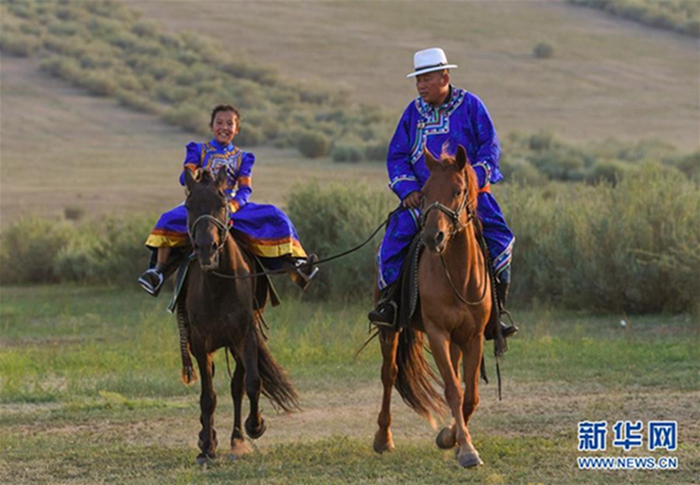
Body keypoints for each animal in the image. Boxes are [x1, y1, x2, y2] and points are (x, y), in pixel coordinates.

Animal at [180, 168, 298, 464]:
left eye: (222, 204)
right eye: (189, 206)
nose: (206, 249)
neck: (219, 287)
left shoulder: (246, 336)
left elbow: (251, 383)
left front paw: (254, 426)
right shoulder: (200, 343)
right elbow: (208, 395)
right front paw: (207, 447)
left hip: (236, 343)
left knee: (237, 386)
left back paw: (237, 440)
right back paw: (207, 438)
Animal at [372, 146, 492, 466]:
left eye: (458, 190)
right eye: (424, 192)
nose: (432, 236)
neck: (460, 277)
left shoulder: (473, 337)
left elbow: (470, 395)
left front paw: (451, 438)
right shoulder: (438, 333)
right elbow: (452, 390)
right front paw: (466, 448)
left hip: (457, 340)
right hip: (390, 330)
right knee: (389, 374)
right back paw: (383, 437)